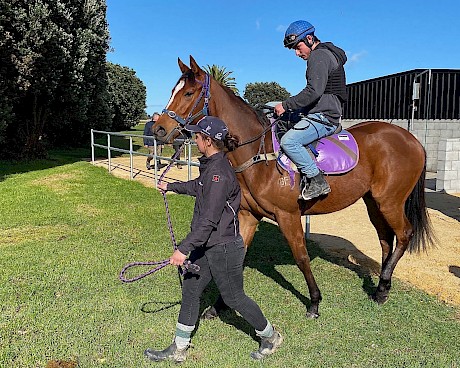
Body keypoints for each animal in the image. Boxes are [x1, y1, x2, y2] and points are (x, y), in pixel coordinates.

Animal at [154, 55, 434, 320]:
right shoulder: (248, 215)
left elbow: (301, 257)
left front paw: (315, 302)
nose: (159, 129)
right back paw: (381, 287)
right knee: (386, 240)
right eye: (173, 90)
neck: (260, 154)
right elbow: (236, 257)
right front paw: (218, 305)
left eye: (189, 93)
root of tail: (411, 139)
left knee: (404, 234)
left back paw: (383, 286)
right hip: (373, 202)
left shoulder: (288, 216)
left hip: (390, 202)